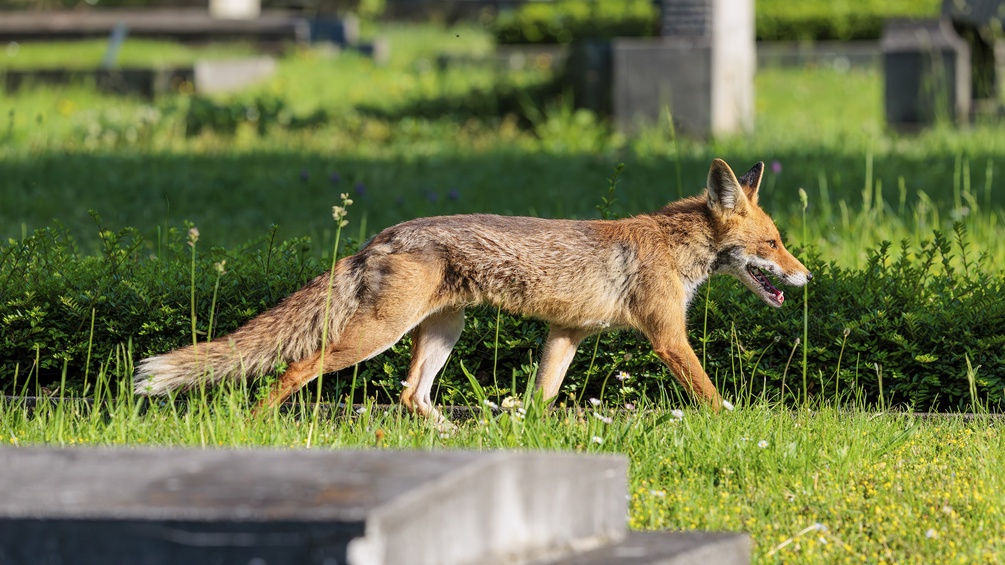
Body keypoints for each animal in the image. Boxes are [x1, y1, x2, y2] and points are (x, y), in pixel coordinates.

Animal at [135, 158, 812, 419]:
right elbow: (711, 395)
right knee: (295, 369)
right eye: (774, 243)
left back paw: (455, 435)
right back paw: (254, 425)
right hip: (375, 336)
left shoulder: (567, 332)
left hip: (442, 330)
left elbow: (542, 396)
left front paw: (528, 431)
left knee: (411, 394)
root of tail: (380, 234)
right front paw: (736, 424)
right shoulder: (668, 337)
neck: (672, 246)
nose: (809, 276)